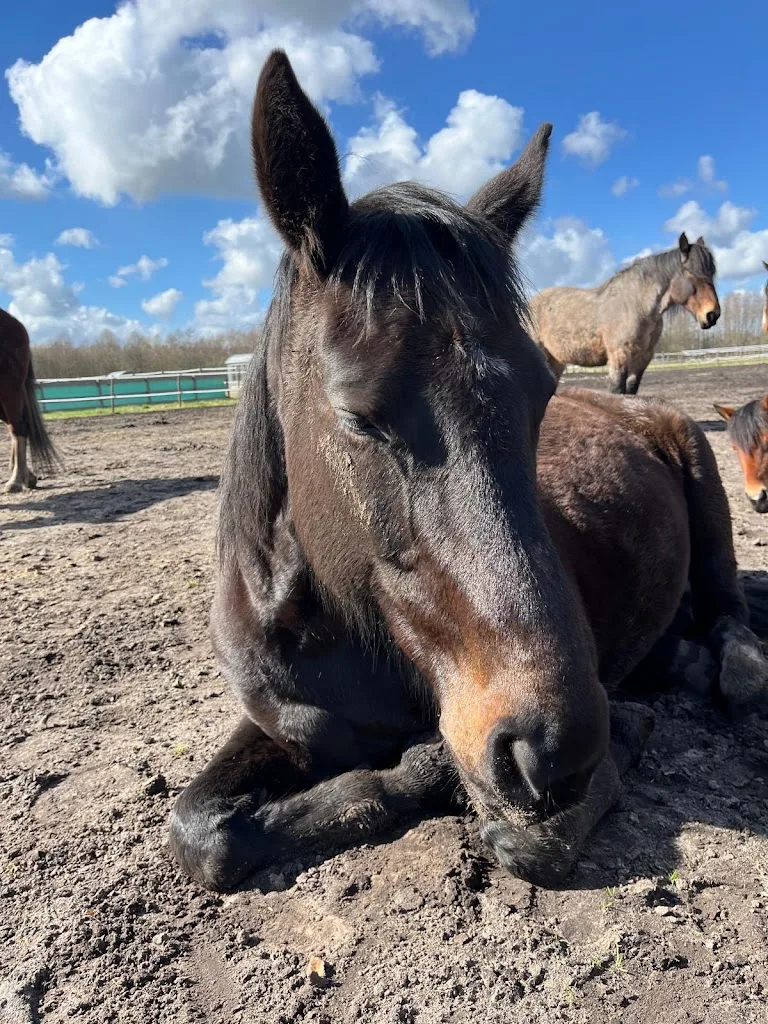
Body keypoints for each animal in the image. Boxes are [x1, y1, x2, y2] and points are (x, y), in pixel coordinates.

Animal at [527, 236, 721, 394]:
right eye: (692, 273)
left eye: (711, 273)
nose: (712, 314)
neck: (637, 305)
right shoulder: (618, 356)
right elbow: (617, 392)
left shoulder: (643, 358)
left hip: (556, 361)